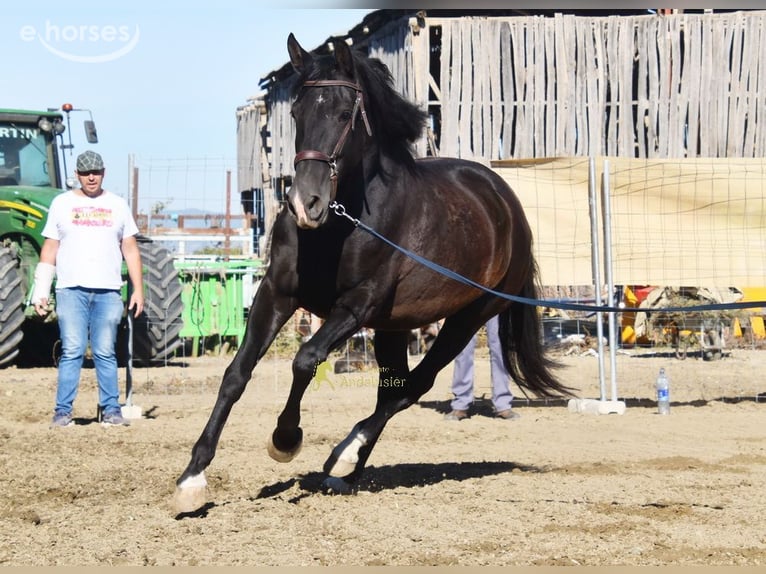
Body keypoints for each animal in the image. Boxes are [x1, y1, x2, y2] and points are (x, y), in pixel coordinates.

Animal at [173, 33, 572, 514]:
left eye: (345, 114)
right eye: (296, 112)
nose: (305, 203)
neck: (340, 224)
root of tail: (507, 203)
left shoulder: (357, 306)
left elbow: (305, 359)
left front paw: (285, 440)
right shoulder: (276, 294)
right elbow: (236, 374)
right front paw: (192, 479)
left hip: (467, 318)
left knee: (411, 387)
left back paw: (345, 455)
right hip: (394, 326)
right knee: (393, 389)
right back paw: (346, 471)